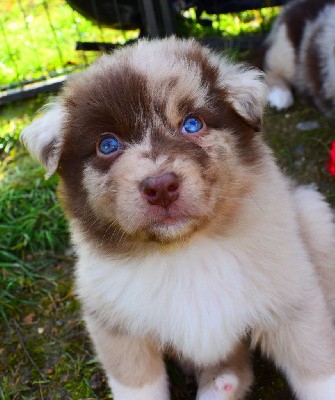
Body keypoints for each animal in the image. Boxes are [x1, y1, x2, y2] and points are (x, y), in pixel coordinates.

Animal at [19, 37, 335, 400]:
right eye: (107, 144)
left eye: (193, 124)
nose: (160, 187)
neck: (184, 250)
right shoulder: (115, 327)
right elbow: (138, 385)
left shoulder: (294, 305)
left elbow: (318, 372)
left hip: (312, 213)